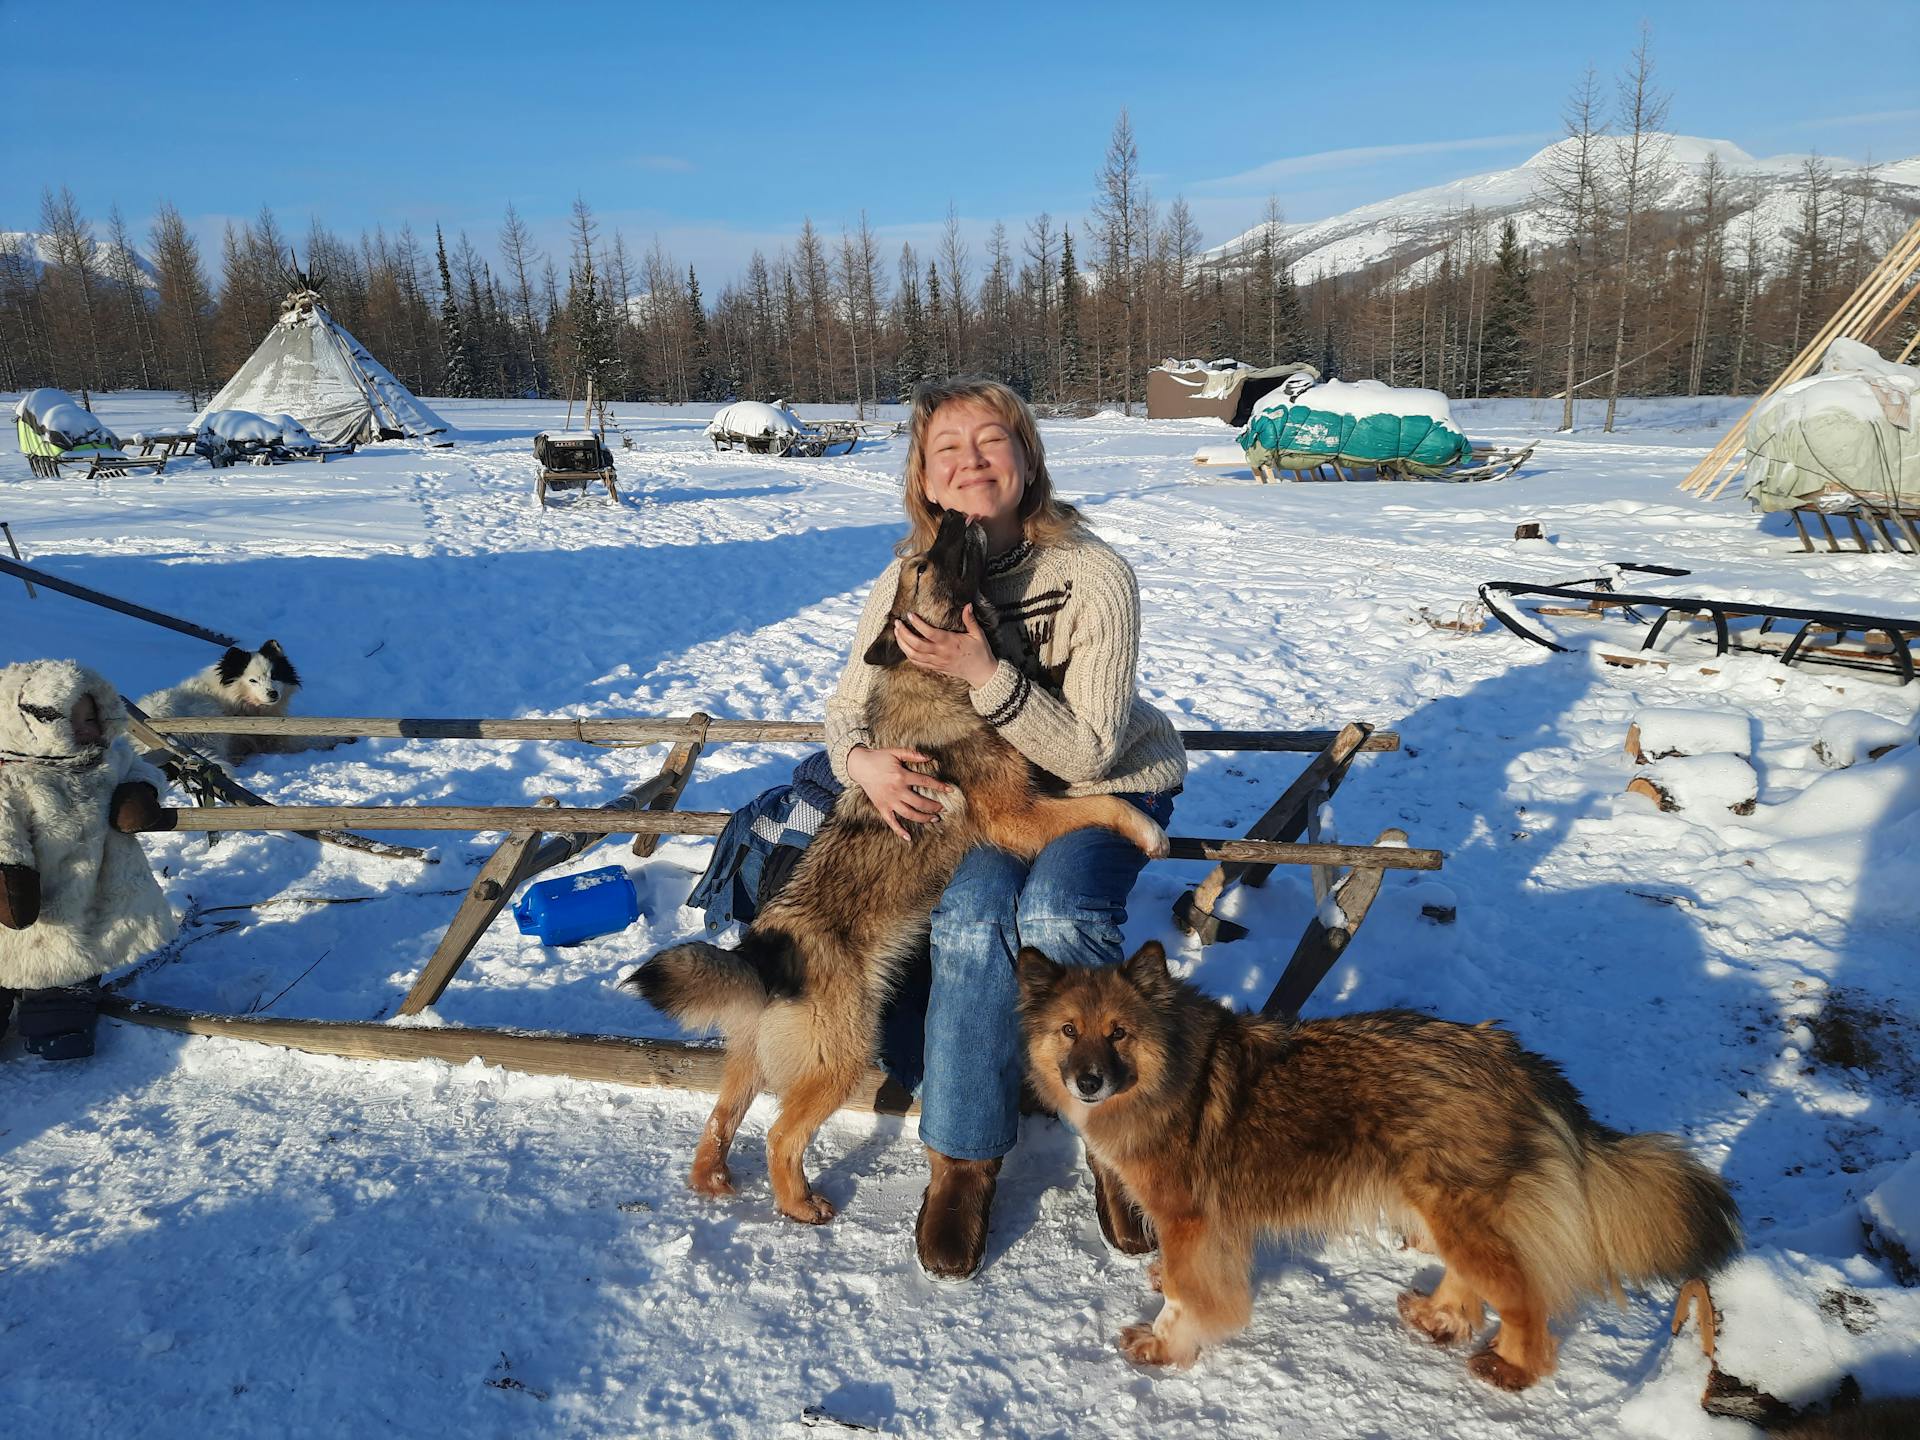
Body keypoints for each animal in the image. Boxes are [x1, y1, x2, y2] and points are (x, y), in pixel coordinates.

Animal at [629, 514, 1167, 1221]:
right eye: (921, 567)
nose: (955, 516)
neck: (936, 678)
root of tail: (765, 949)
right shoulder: (1018, 817)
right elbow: (1100, 803)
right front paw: (1147, 829)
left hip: (754, 1057)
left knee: (721, 1117)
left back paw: (712, 1179)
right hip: (843, 1056)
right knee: (779, 1134)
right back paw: (800, 1205)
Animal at [1021, 940, 1743, 1390]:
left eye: (1118, 1032)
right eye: (1068, 1030)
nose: (1087, 1081)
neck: (1165, 1072)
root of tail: (1513, 1057)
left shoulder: (1191, 1218)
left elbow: (1188, 1298)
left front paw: (1164, 1346)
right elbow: (1180, 1277)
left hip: (1462, 1213)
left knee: (1526, 1296)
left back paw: (1512, 1369)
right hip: (1448, 1211)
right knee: (1475, 1278)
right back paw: (1442, 1316)